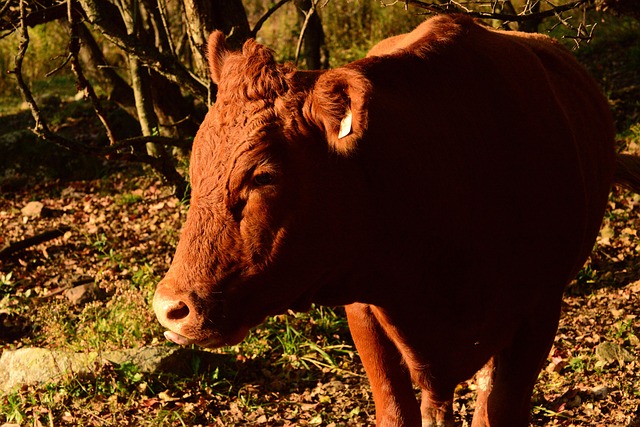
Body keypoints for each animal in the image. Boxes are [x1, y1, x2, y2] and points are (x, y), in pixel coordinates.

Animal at [153, 14, 640, 427]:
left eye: (263, 175)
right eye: (195, 166)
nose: (169, 308)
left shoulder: (538, 314)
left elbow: (496, 409)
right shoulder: (365, 313)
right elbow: (397, 409)